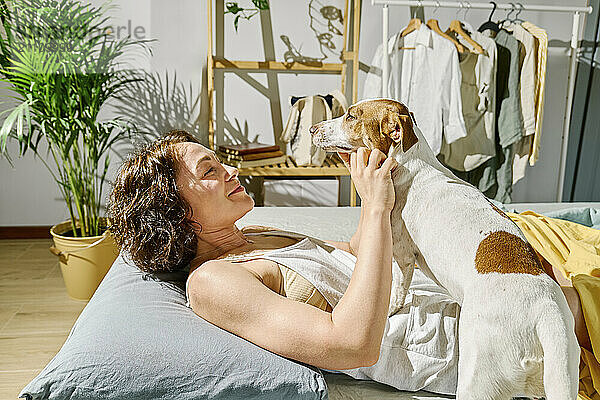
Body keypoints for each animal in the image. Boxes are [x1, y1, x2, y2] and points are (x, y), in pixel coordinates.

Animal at [310, 99, 580, 400]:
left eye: (351, 116)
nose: (312, 129)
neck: (410, 164)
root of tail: (547, 315)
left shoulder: (402, 256)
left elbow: (397, 290)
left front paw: (391, 309)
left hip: (477, 380)